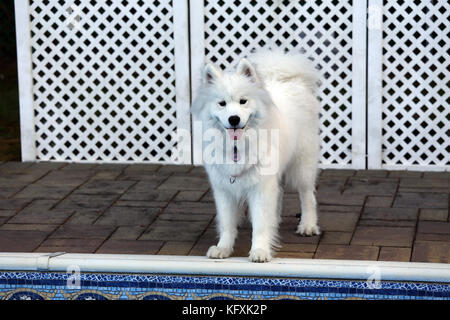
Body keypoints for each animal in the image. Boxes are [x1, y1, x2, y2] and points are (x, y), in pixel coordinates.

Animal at [192, 49, 322, 260]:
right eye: (222, 103)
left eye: (243, 101)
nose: (234, 119)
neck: (237, 145)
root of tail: (291, 80)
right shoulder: (224, 189)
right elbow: (227, 224)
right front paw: (223, 248)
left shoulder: (261, 187)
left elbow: (261, 224)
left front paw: (260, 250)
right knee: (280, 195)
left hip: (302, 165)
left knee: (307, 196)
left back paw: (308, 225)